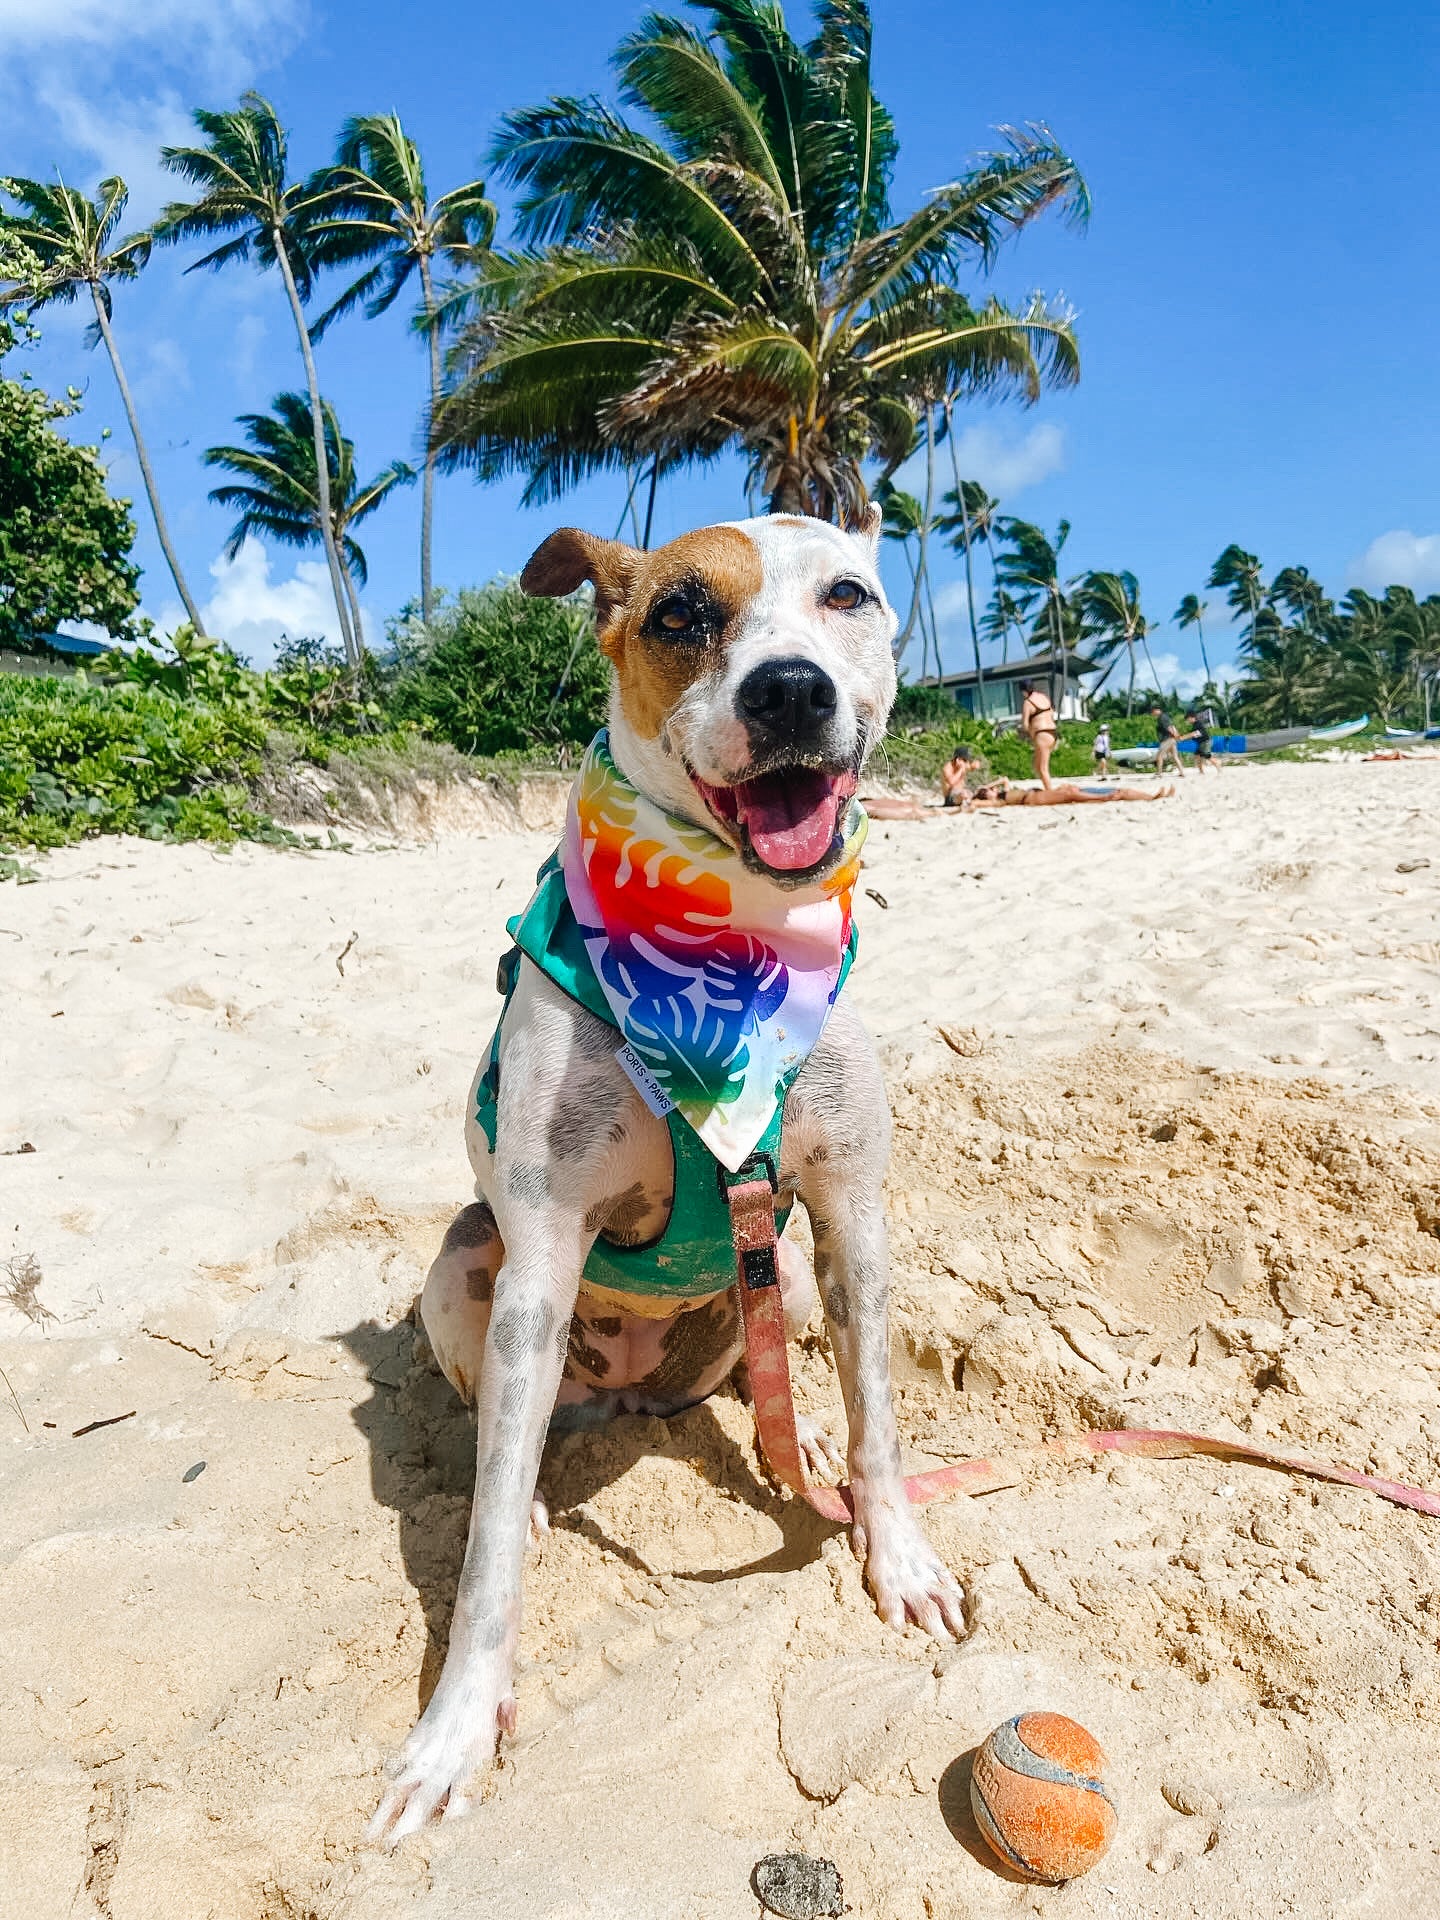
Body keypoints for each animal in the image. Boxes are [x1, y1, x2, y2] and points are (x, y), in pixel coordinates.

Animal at [366, 510, 963, 1843]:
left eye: (846, 595)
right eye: (682, 613)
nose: (789, 688)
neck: (730, 949)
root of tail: (633, 1396)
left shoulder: (851, 1214)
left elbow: (881, 1421)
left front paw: (894, 1556)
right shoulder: (540, 1252)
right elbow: (486, 1563)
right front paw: (453, 1729)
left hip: (771, 1266)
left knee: (765, 1364)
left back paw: (781, 1420)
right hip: (464, 1260)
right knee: (498, 1422)